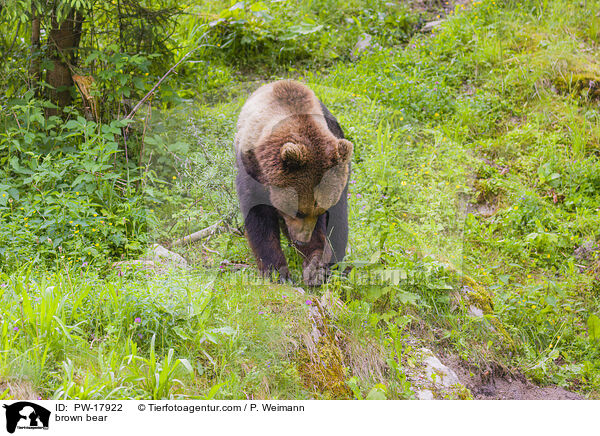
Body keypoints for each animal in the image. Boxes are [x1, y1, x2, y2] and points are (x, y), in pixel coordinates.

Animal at [233, 80, 352, 286]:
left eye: (320, 210)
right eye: (298, 211)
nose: (302, 240)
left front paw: (315, 266)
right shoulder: (251, 171)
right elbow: (260, 221)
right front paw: (276, 272)